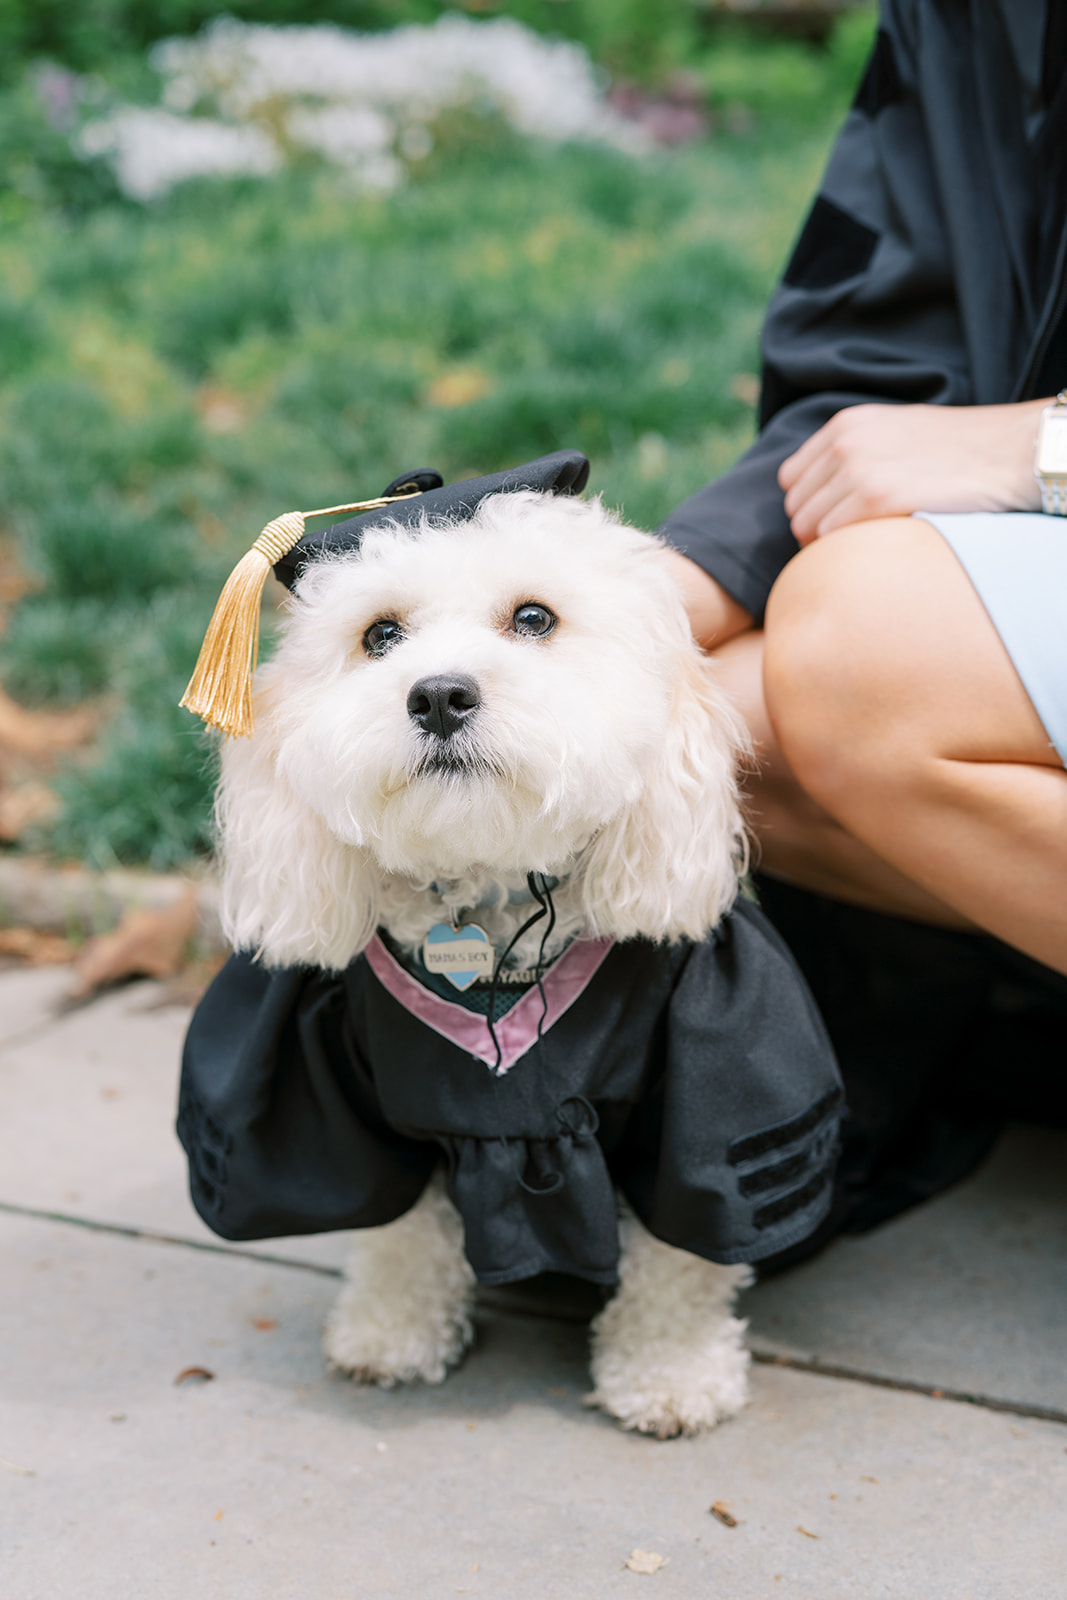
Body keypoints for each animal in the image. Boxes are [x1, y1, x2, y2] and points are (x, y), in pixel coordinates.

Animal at [217, 486, 755, 1440]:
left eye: (533, 618)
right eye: (380, 635)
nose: (438, 694)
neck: (490, 900)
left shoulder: (700, 1102)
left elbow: (681, 1248)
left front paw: (671, 1375)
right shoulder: (347, 1096)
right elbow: (396, 1227)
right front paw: (392, 1332)